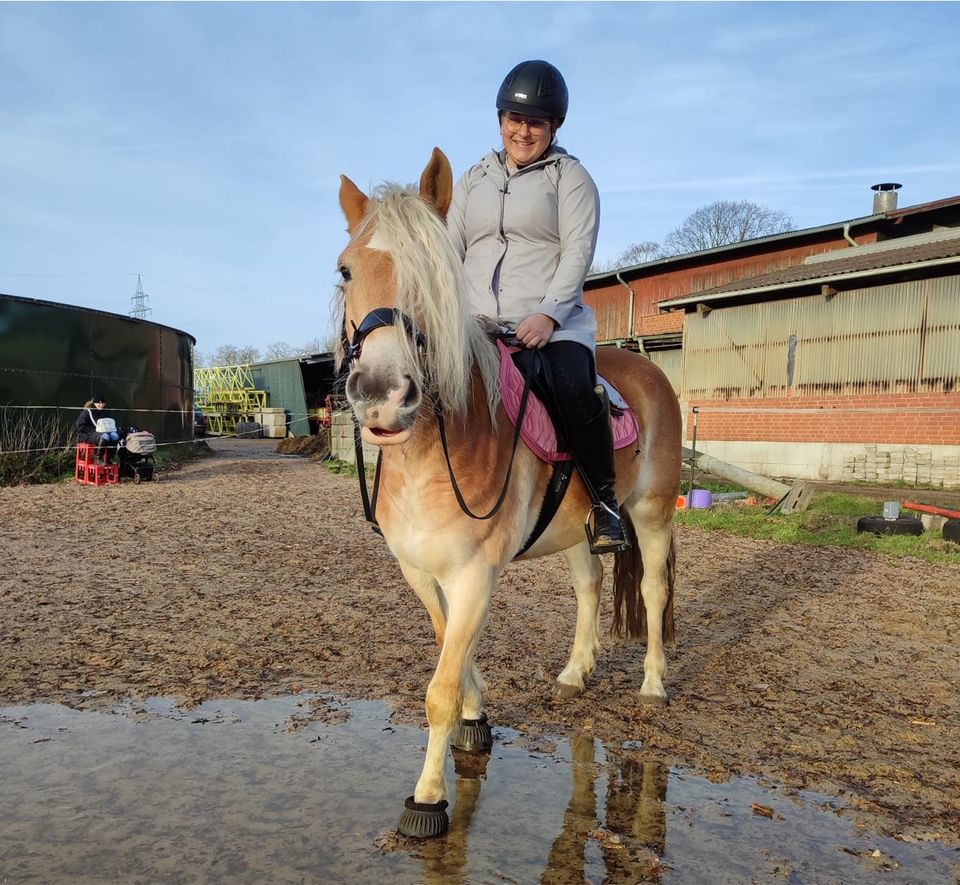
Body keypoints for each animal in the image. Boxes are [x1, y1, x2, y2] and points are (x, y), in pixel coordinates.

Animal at [338, 147, 684, 836]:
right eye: (345, 270)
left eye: (437, 273)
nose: (382, 396)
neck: (429, 456)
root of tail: (650, 367)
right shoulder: (420, 571)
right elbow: (452, 647)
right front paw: (478, 722)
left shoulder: (476, 573)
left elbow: (440, 689)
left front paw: (428, 797)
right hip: (579, 529)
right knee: (590, 587)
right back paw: (576, 673)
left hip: (652, 514)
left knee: (654, 593)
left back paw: (654, 685)